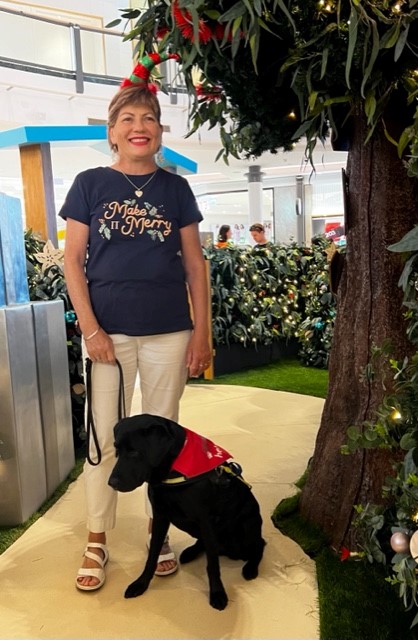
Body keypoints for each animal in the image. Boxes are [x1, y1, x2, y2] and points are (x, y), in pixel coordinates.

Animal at [108, 416, 264, 608]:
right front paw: (141, 584)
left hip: (249, 524)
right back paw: (190, 552)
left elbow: (212, 565)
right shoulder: (160, 517)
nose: (111, 483)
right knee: (205, 544)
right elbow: (152, 556)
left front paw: (217, 593)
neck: (173, 471)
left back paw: (250, 568)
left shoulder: (206, 521)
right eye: (117, 450)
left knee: (259, 545)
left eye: (134, 452)